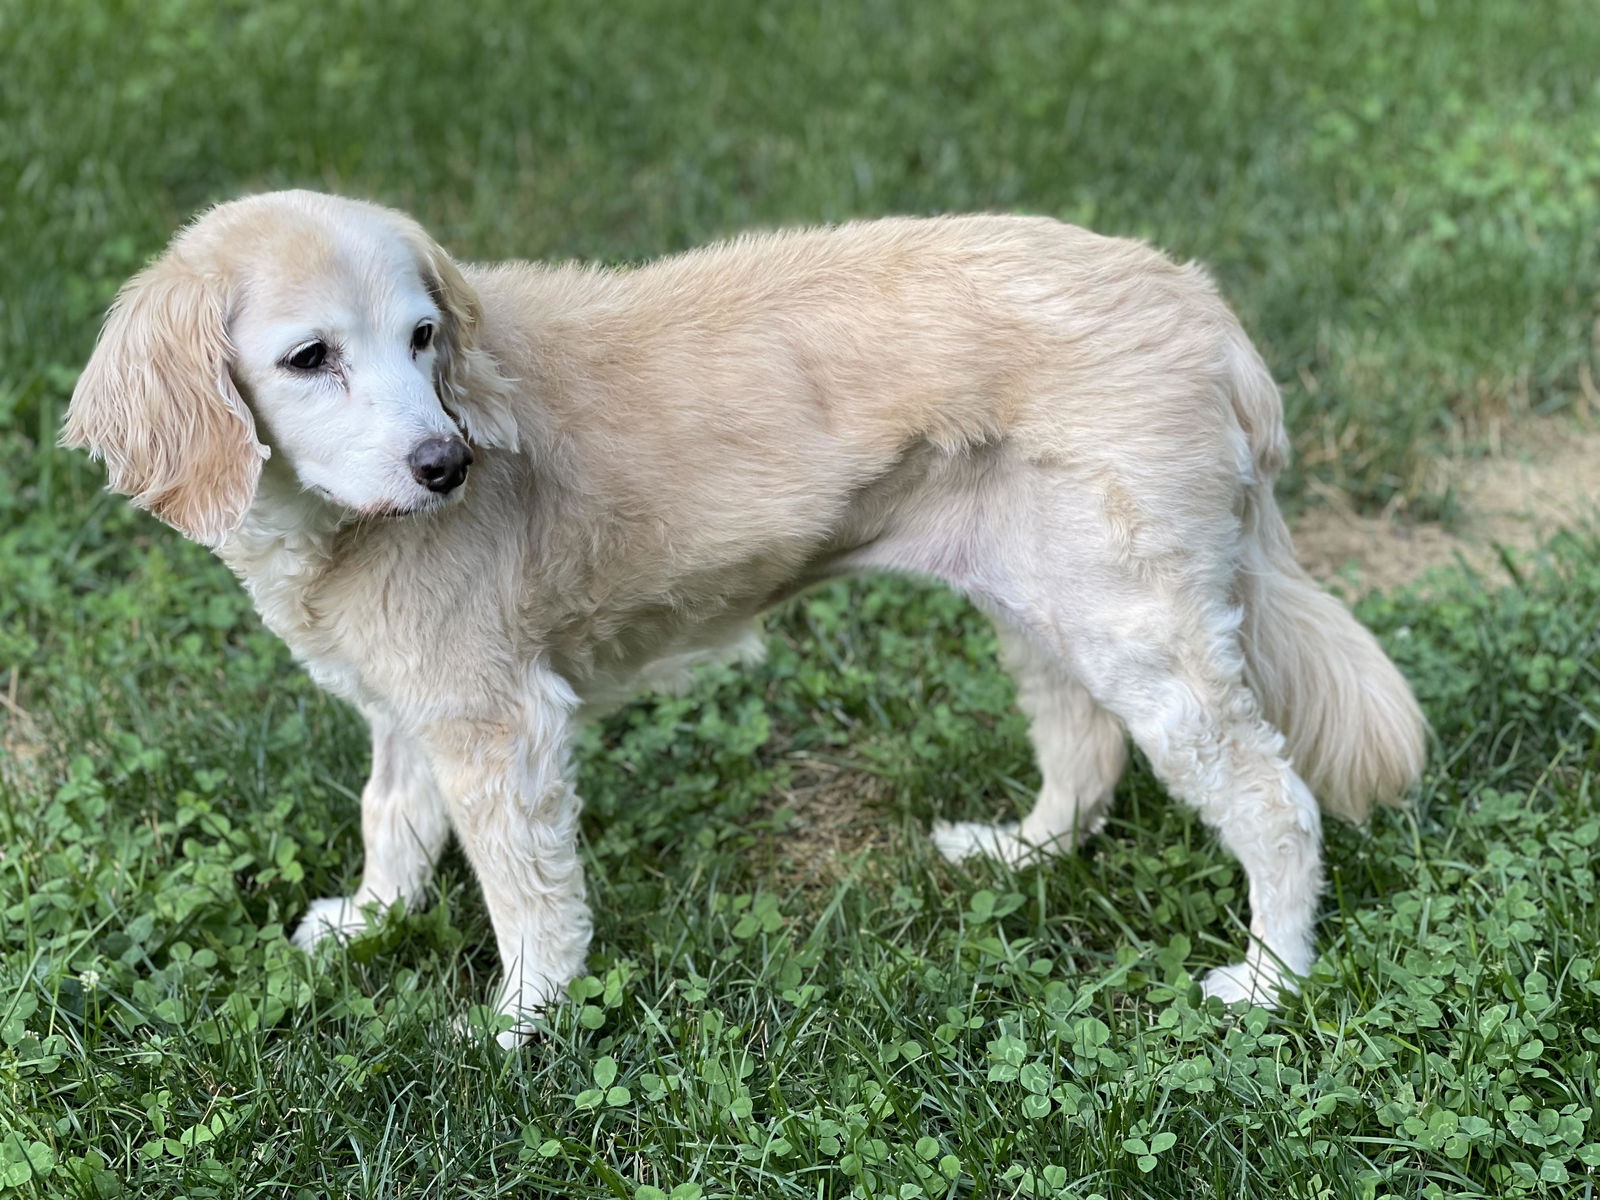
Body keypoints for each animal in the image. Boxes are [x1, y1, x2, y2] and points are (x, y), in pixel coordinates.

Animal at [62, 190, 1427, 1043]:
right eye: (310, 358)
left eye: (421, 336)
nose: (445, 462)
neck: (335, 526)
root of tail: (1203, 306)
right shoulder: (412, 708)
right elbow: (391, 824)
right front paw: (369, 924)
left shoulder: (502, 723)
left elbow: (525, 895)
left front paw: (523, 1020)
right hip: (1044, 604)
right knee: (1084, 754)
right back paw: (1021, 854)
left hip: (1141, 632)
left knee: (1274, 801)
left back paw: (1270, 977)